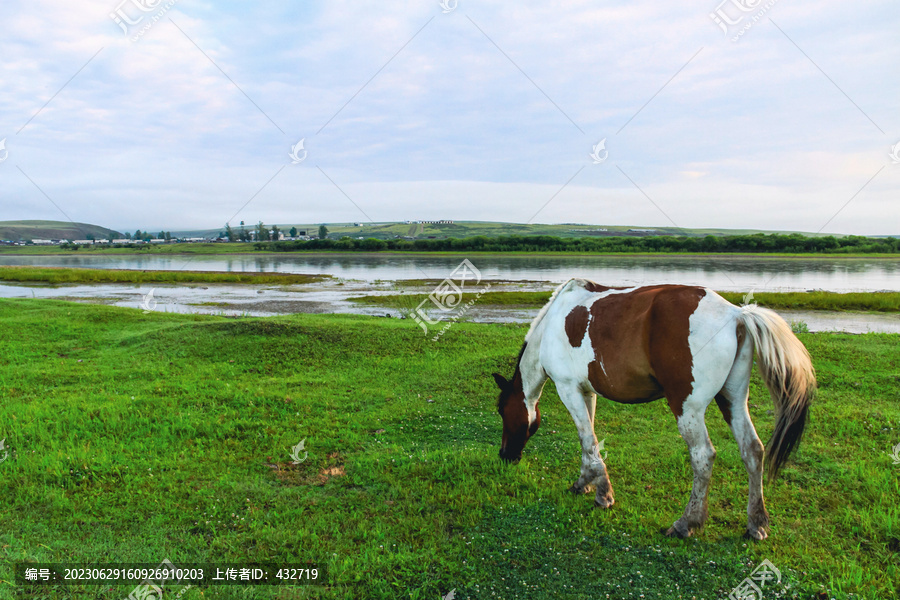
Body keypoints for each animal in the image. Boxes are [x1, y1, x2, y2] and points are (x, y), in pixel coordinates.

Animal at [492, 280, 816, 540]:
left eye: (502, 411)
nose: (505, 455)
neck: (553, 323)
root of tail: (736, 315)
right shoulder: (587, 391)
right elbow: (590, 443)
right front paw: (585, 483)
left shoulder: (568, 388)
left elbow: (587, 439)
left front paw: (603, 493)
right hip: (733, 401)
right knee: (753, 450)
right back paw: (756, 523)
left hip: (688, 408)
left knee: (703, 457)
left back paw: (687, 523)